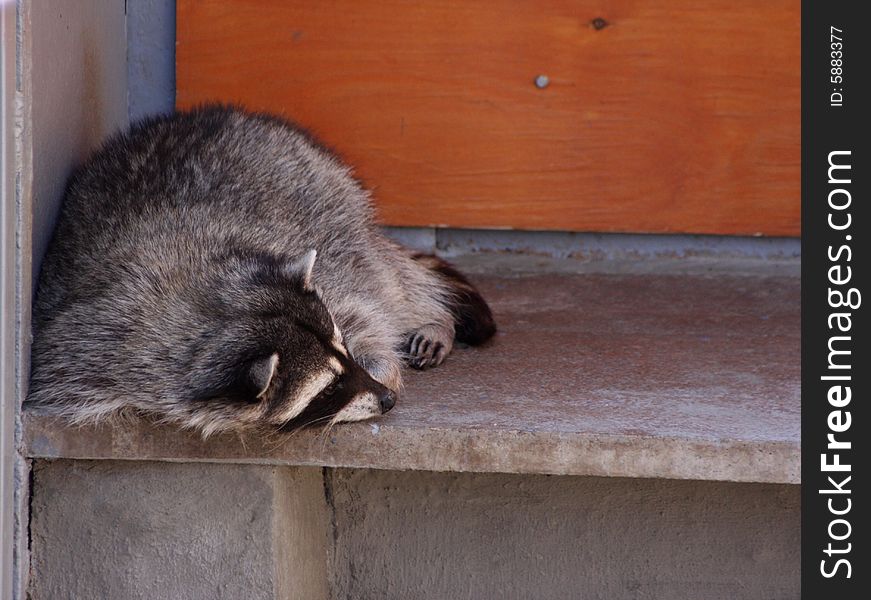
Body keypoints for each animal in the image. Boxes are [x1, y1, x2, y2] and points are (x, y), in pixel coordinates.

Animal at [29, 104, 498, 436]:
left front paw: (384, 363)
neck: (206, 307)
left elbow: (368, 312)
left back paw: (434, 317)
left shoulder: (319, 270)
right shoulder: (87, 343)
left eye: (344, 347)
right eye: (327, 388)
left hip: (332, 197)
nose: (386, 401)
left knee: (388, 276)